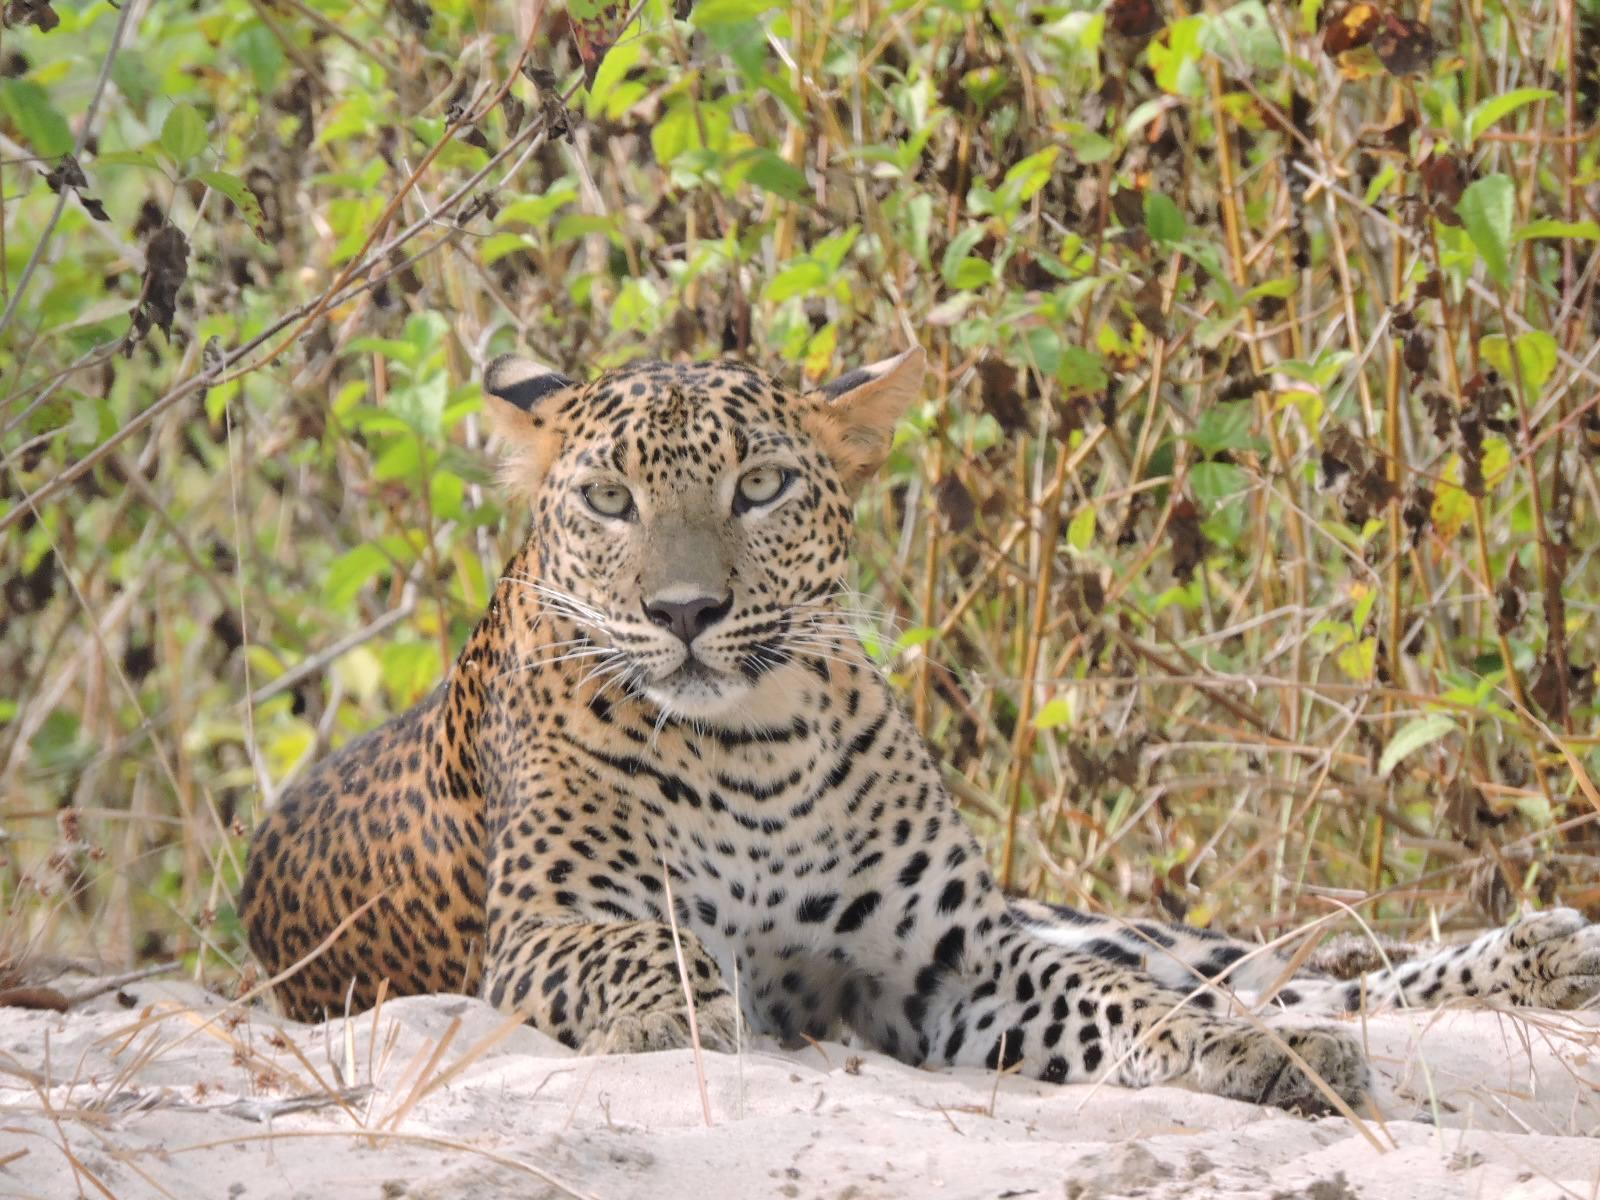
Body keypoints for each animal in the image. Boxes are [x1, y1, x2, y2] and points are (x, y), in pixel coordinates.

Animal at [239, 346, 1600, 1113]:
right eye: (610, 501)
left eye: (761, 487)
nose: (685, 613)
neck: (754, 747)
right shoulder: (542, 933)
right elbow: (645, 952)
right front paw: (683, 1017)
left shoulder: (961, 958)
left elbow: (1129, 1004)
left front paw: (1244, 1058)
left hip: (1086, 916)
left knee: (1275, 966)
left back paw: (1539, 958)